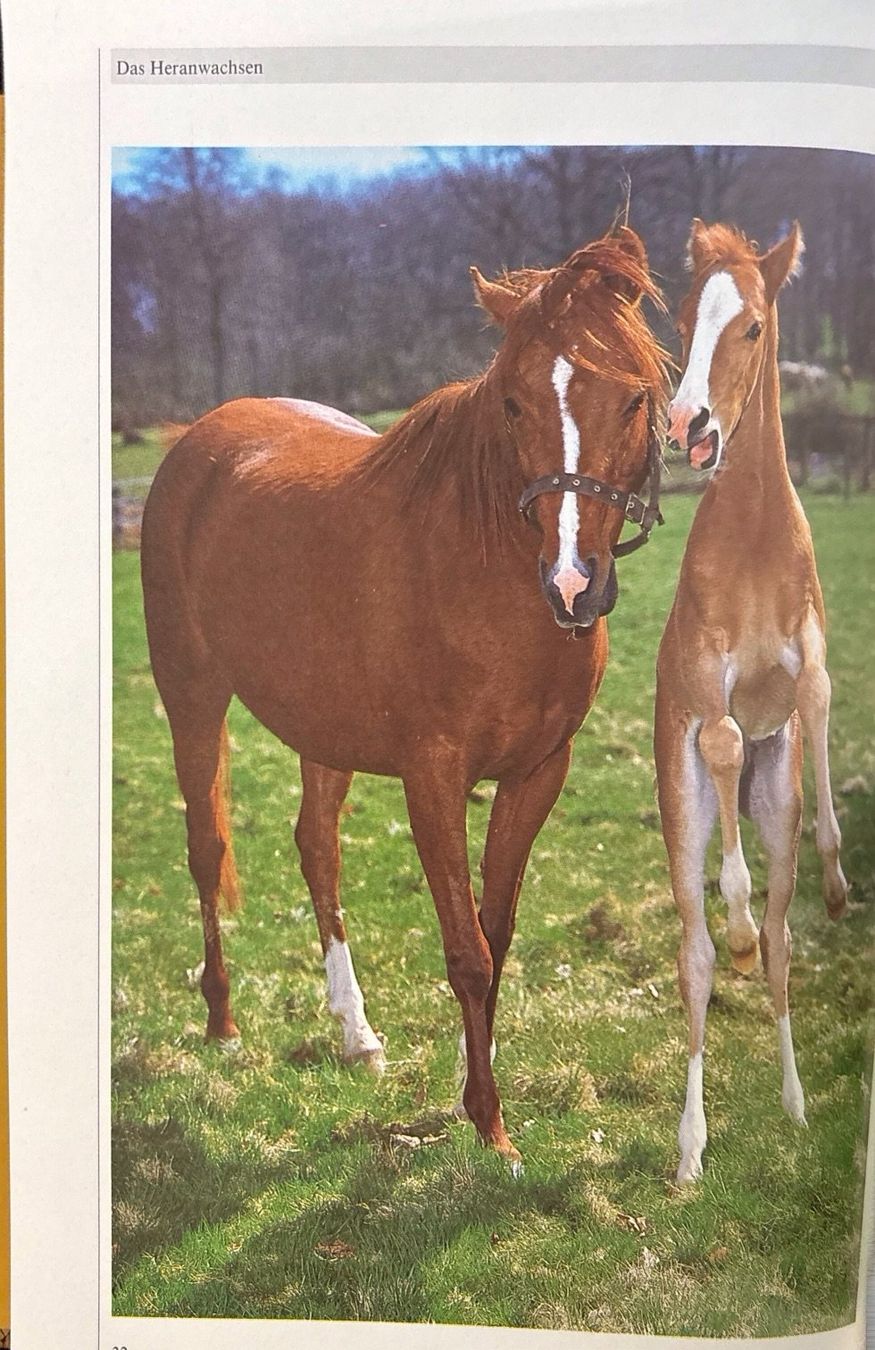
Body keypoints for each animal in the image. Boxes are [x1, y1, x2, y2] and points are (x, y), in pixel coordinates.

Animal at [140, 226, 669, 1168]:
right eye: (511, 403)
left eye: (633, 399)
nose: (573, 584)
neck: (485, 568)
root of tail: (196, 439)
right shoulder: (433, 779)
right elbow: (465, 951)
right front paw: (490, 1128)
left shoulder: (537, 774)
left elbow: (494, 936)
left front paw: (469, 1091)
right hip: (190, 693)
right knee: (207, 846)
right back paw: (224, 1026)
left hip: (322, 727)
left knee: (317, 849)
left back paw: (355, 1035)